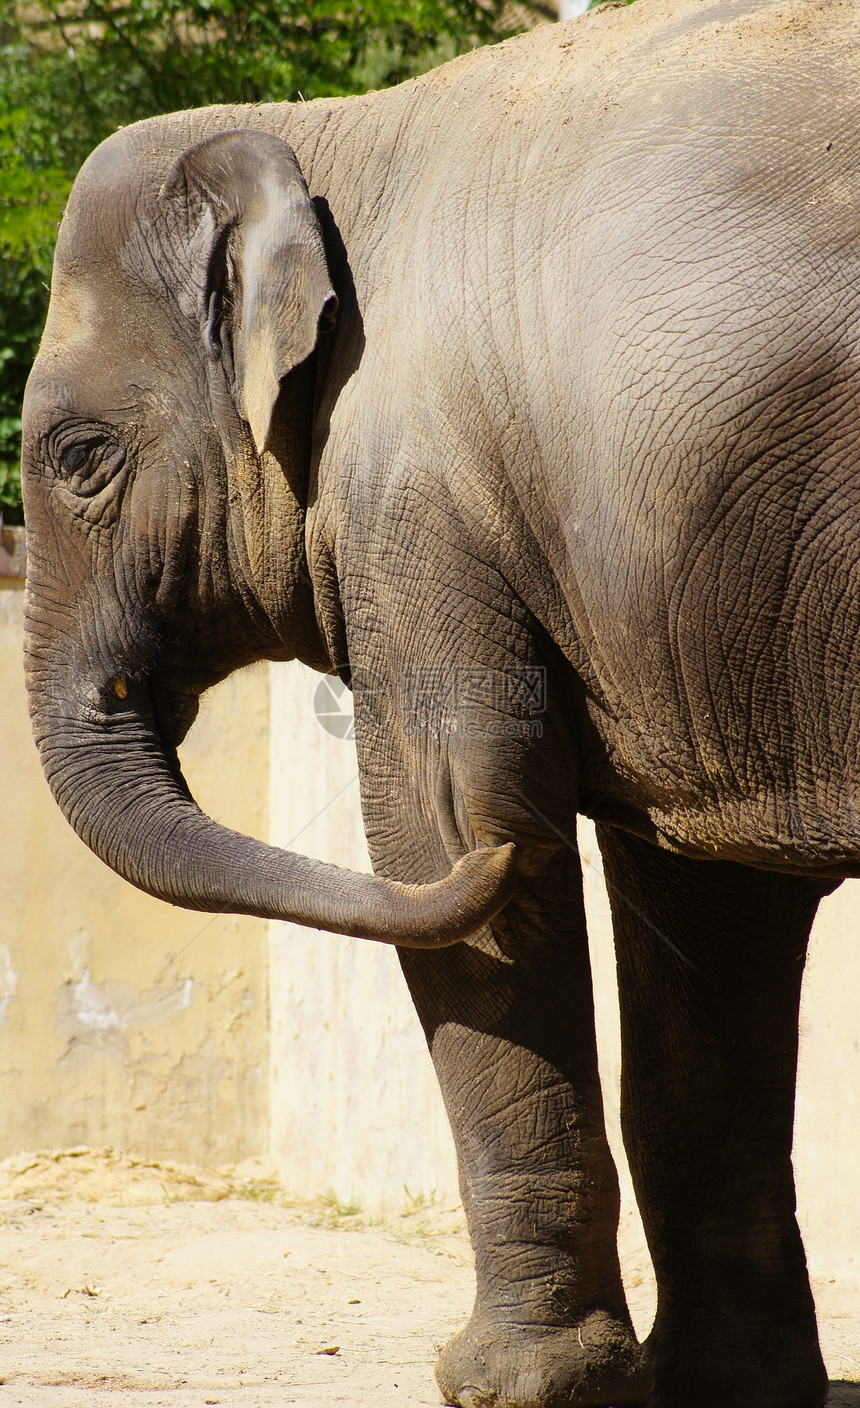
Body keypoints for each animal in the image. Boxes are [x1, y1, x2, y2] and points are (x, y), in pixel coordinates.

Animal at [18, 0, 860, 1402]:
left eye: (82, 459)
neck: (321, 136)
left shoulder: (417, 495)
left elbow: (430, 827)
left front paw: (505, 1385)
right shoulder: (671, 608)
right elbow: (700, 893)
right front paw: (720, 1389)